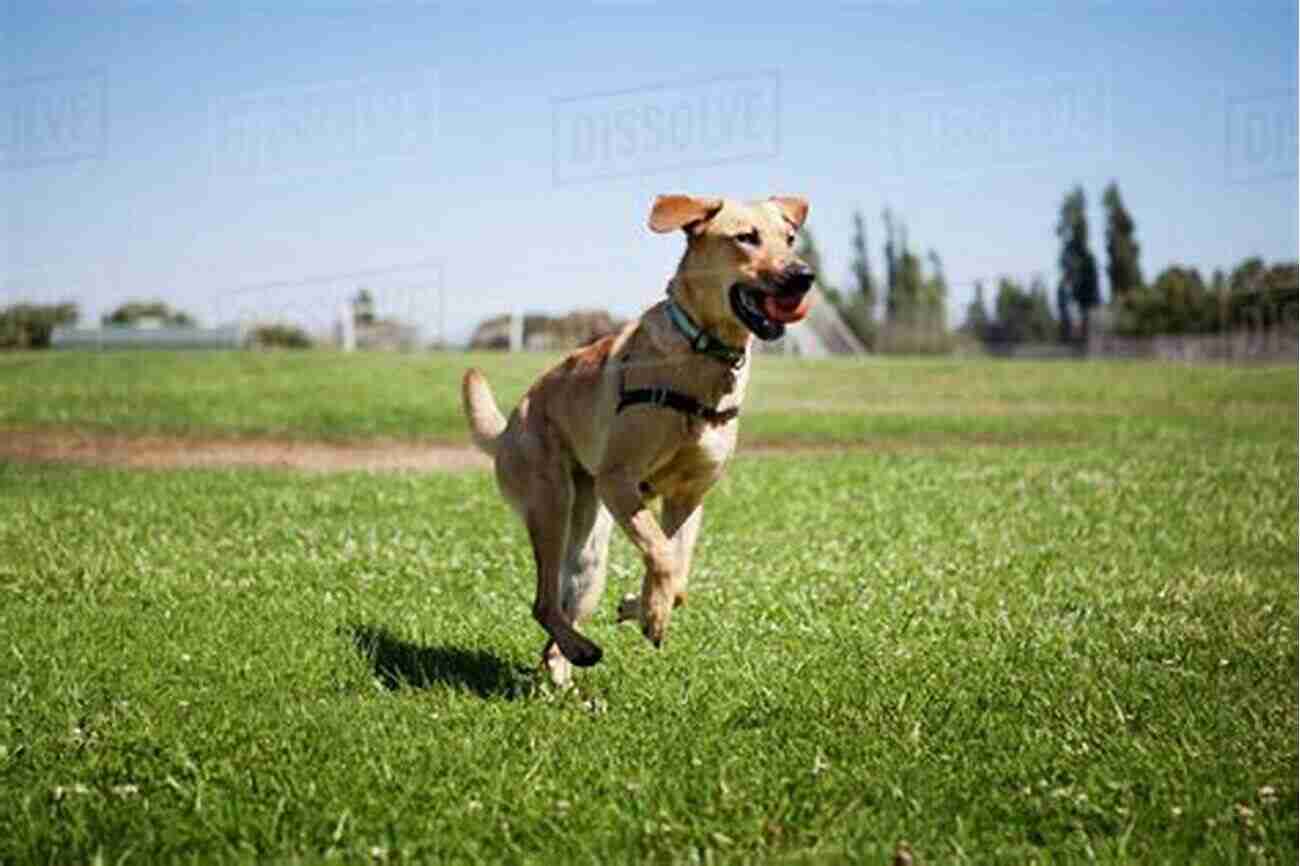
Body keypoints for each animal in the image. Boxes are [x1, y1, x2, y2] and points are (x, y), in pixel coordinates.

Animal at [465, 193, 811, 681]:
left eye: (791, 238)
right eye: (746, 238)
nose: (804, 276)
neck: (702, 355)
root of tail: (510, 426)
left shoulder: (688, 496)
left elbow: (678, 571)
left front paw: (641, 604)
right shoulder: (619, 482)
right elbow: (663, 556)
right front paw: (651, 613)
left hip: (589, 558)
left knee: (558, 615)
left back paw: (567, 664)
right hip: (551, 506)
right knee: (542, 601)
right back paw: (580, 650)